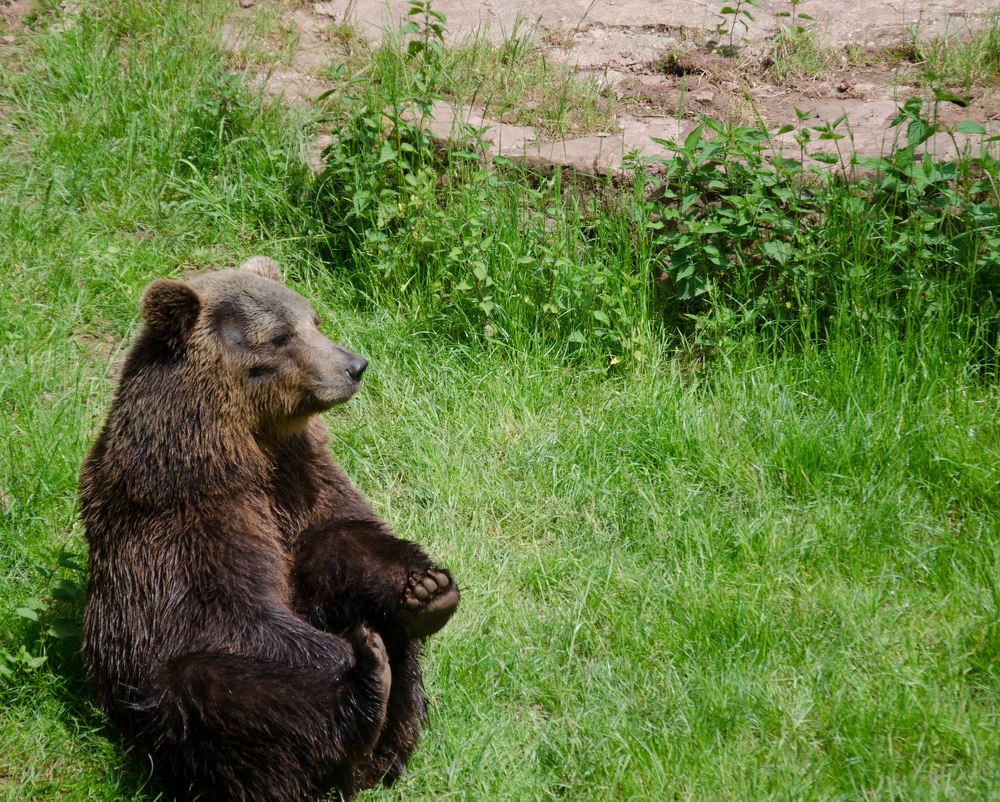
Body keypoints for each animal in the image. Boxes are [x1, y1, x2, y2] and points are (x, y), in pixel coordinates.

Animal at [78, 257, 459, 802]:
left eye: (315, 320)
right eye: (280, 336)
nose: (354, 365)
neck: (249, 445)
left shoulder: (303, 481)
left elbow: (339, 537)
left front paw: (427, 588)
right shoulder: (187, 518)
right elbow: (237, 614)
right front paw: (349, 655)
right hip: (152, 696)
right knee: (210, 693)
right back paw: (367, 686)